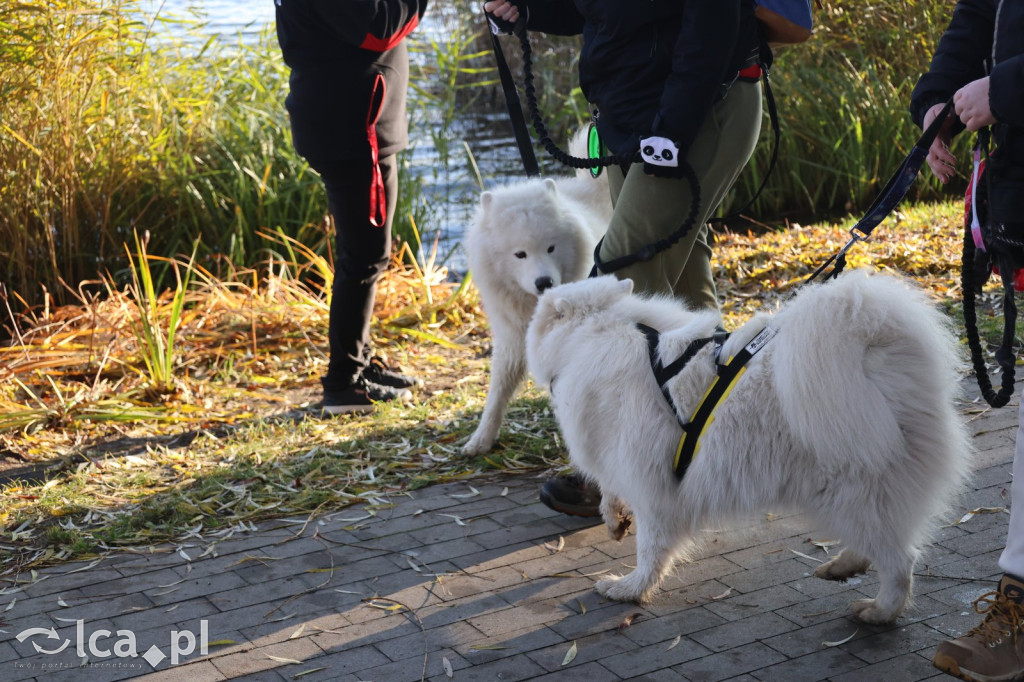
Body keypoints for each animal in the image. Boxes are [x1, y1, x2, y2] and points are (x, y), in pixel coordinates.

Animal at [466, 135, 614, 454]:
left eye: (551, 248)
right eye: (519, 254)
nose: (544, 281)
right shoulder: (511, 337)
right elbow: (497, 391)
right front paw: (481, 438)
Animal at [532, 268, 970, 618]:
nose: (540, 281)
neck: (600, 330)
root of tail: (882, 355)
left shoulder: (653, 487)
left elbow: (651, 550)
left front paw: (629, 589)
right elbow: (611, 492)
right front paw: (613, 519)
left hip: (851, 489)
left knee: (900, 559)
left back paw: (879, 611)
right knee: (880, 542)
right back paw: (845, 566)